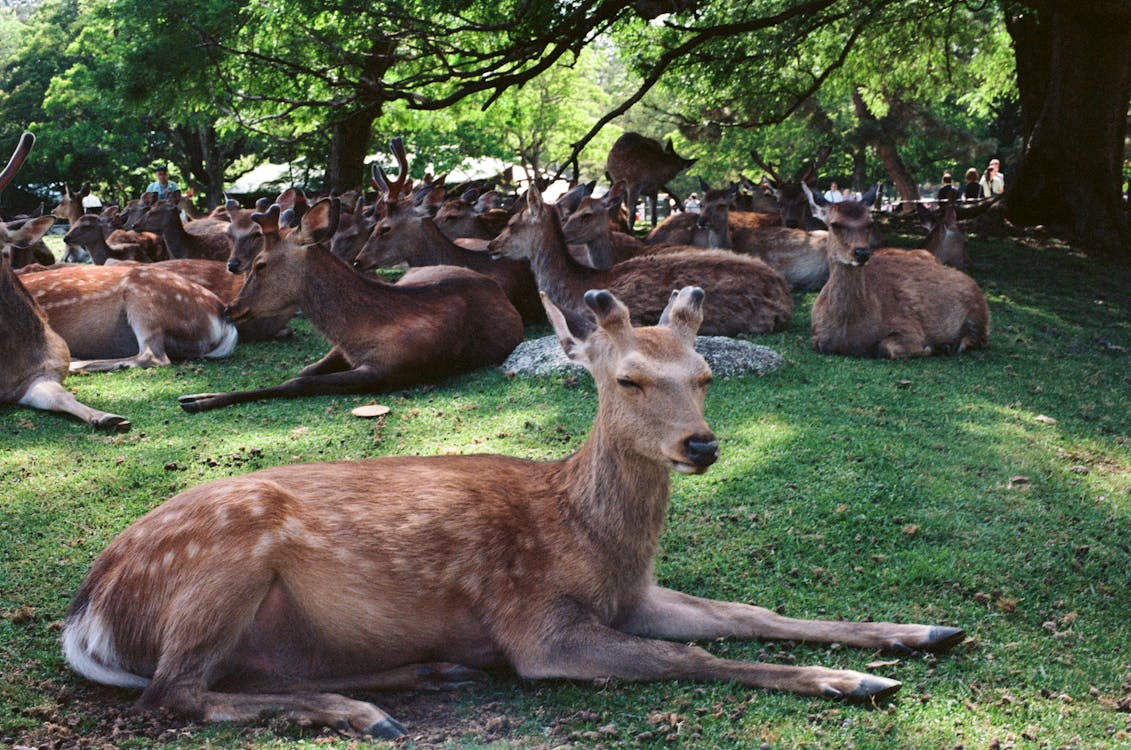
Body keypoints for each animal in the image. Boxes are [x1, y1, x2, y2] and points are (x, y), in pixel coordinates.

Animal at [61, 285, 963, 742]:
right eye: (627, 378)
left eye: (706, 374)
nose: (701, 445)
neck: (590, 539)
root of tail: (84, 614)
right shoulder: (536, 625)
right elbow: (692, 657)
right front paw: (856, 681)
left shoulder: (635, 594)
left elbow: (751, 612)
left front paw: (920, 631)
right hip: (221, 563)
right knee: (171, 695)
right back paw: (361, 713)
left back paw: (427, 676)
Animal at [177, 196, 524, 414]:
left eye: (260, 264)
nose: (229, 308)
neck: (362, 331)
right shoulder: (343, 351)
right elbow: (303, 371)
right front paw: (197, 395)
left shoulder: (391, 370)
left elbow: (299, 382)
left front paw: (199, 400)